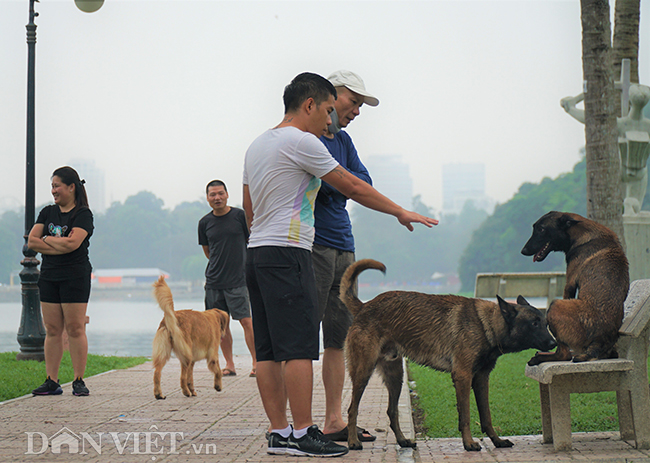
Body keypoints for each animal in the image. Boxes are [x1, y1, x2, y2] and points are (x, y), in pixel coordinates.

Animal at [336, 260, 556, 452]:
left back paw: (402, 441)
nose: (554, 344)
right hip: (363, 372)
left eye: (545, 322)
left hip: (396, 377)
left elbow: (486, 416)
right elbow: (465, 415)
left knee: (392, 411)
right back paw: (353, 442)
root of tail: (364, 306)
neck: (486, 324)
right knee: (352, 409)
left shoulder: (481, 379)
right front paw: (469, 443)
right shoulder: (463, 376)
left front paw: (497, 441)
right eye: (534, 323)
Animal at [520, 211, 624, 366]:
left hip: (555, 306)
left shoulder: (569, 283)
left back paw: (542, 357)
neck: (580, 232)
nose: (523, 251)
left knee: (564, 354)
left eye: (542, 229)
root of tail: (599, 340)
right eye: (535, 228)